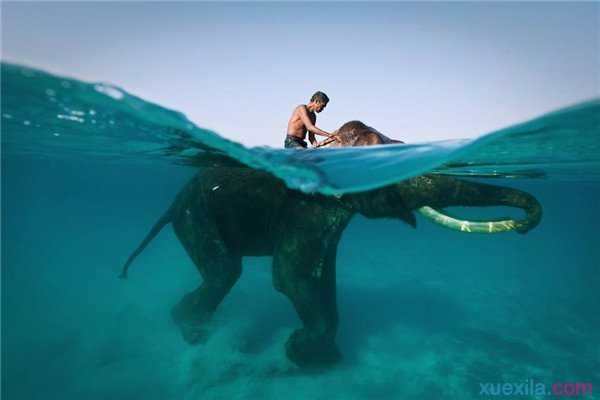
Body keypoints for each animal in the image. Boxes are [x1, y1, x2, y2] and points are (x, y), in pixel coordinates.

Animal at [119, 152, 540, 366]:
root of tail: (171, 205)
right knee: (225, 272)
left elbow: (321, 277)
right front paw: (298, 351)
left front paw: (323, 357)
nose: (524, 228)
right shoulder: (307, 206)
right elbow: (291, 276)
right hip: (196, 215)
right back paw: (191, 331)